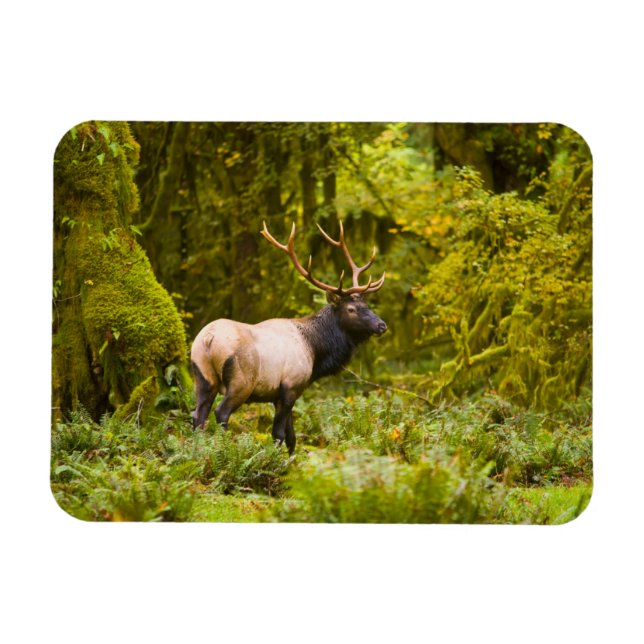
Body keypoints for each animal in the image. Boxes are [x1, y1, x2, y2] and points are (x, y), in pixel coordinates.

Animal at [190, 220, 387, 455]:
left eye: (367, 305)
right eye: (351, 309)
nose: (382, 325)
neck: (315, 351)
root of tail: (208, 339)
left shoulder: (283, 394)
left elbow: (292, 437)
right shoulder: (291, 386)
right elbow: (279, 435)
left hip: (202, 375)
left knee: (197, 416)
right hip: (241, 380)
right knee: (221, 413)